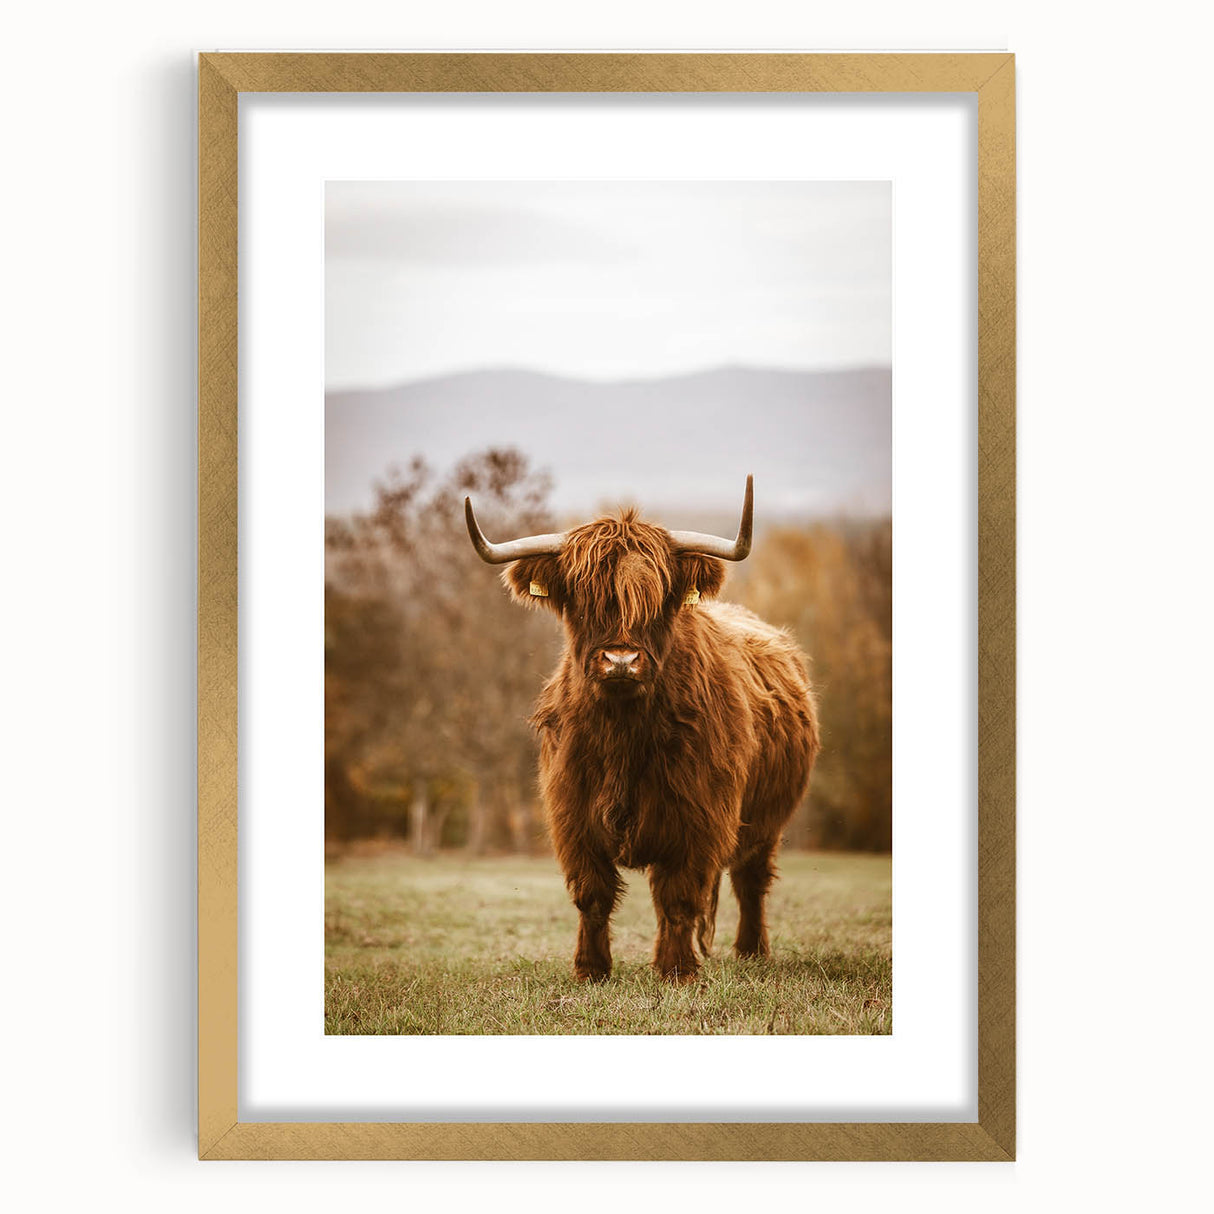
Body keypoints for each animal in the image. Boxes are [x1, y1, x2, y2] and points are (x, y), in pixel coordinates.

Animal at [465, 477, 819, 984]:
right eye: (582, 598)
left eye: (659, 599)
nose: (621, 660)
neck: (623, 733)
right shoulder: (573, 814)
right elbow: (592, 895)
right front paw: (591, 969)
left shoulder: (699, 817)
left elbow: (680, 895)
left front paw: (677, 970)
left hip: (766, 820)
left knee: (750, 879)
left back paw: (752, 952)